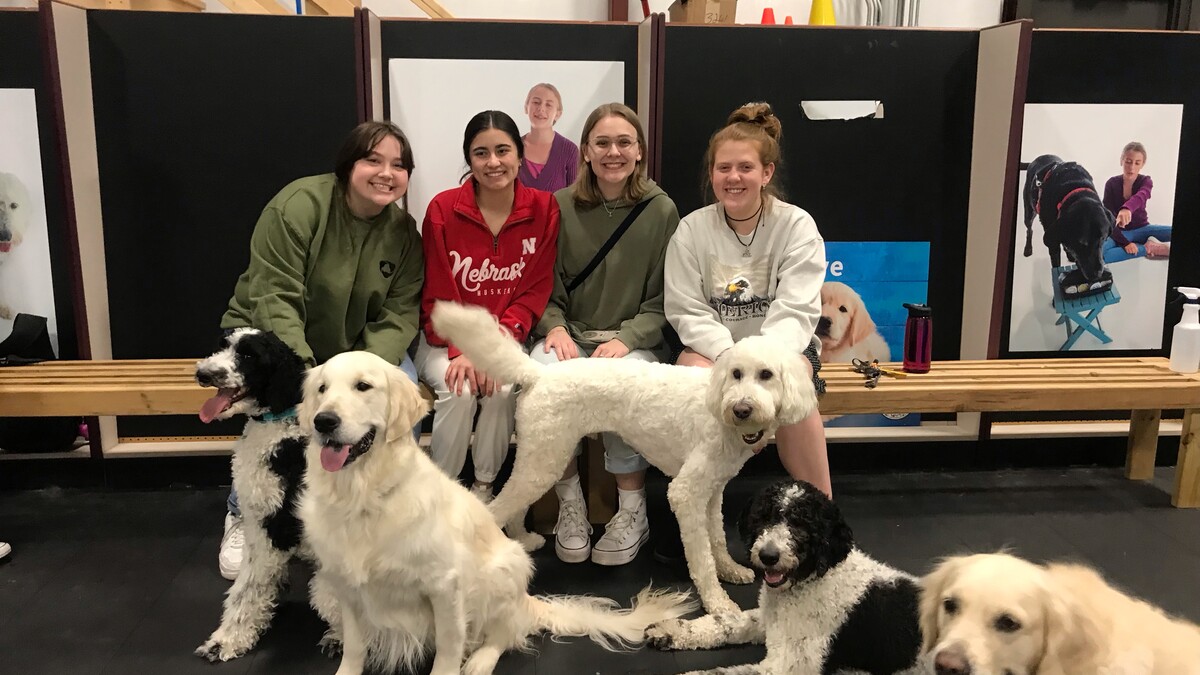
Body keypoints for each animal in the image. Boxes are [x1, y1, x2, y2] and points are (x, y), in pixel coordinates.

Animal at [297, 345, 696, 672]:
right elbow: (355, 650)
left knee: (503, 631)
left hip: (504, 564)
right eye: (322, 389)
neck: (362, 497)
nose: (324, 421)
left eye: (363, 386)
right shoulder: (351, 592)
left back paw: (479, 660)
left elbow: (446, 653)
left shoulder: (444, 588)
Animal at [427, 300, 820, 614]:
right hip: (545, 457)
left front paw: (730, 570)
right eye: (737, 374)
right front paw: (718, 604)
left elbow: (717, 538)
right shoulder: (686, 493)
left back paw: (523, 539)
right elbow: (701, 558)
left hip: (540, 455)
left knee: (512, 504)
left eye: (766, 375)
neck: (718, 404)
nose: (742, 408)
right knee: (496, 507)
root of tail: (538, 373)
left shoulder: (712, 491)